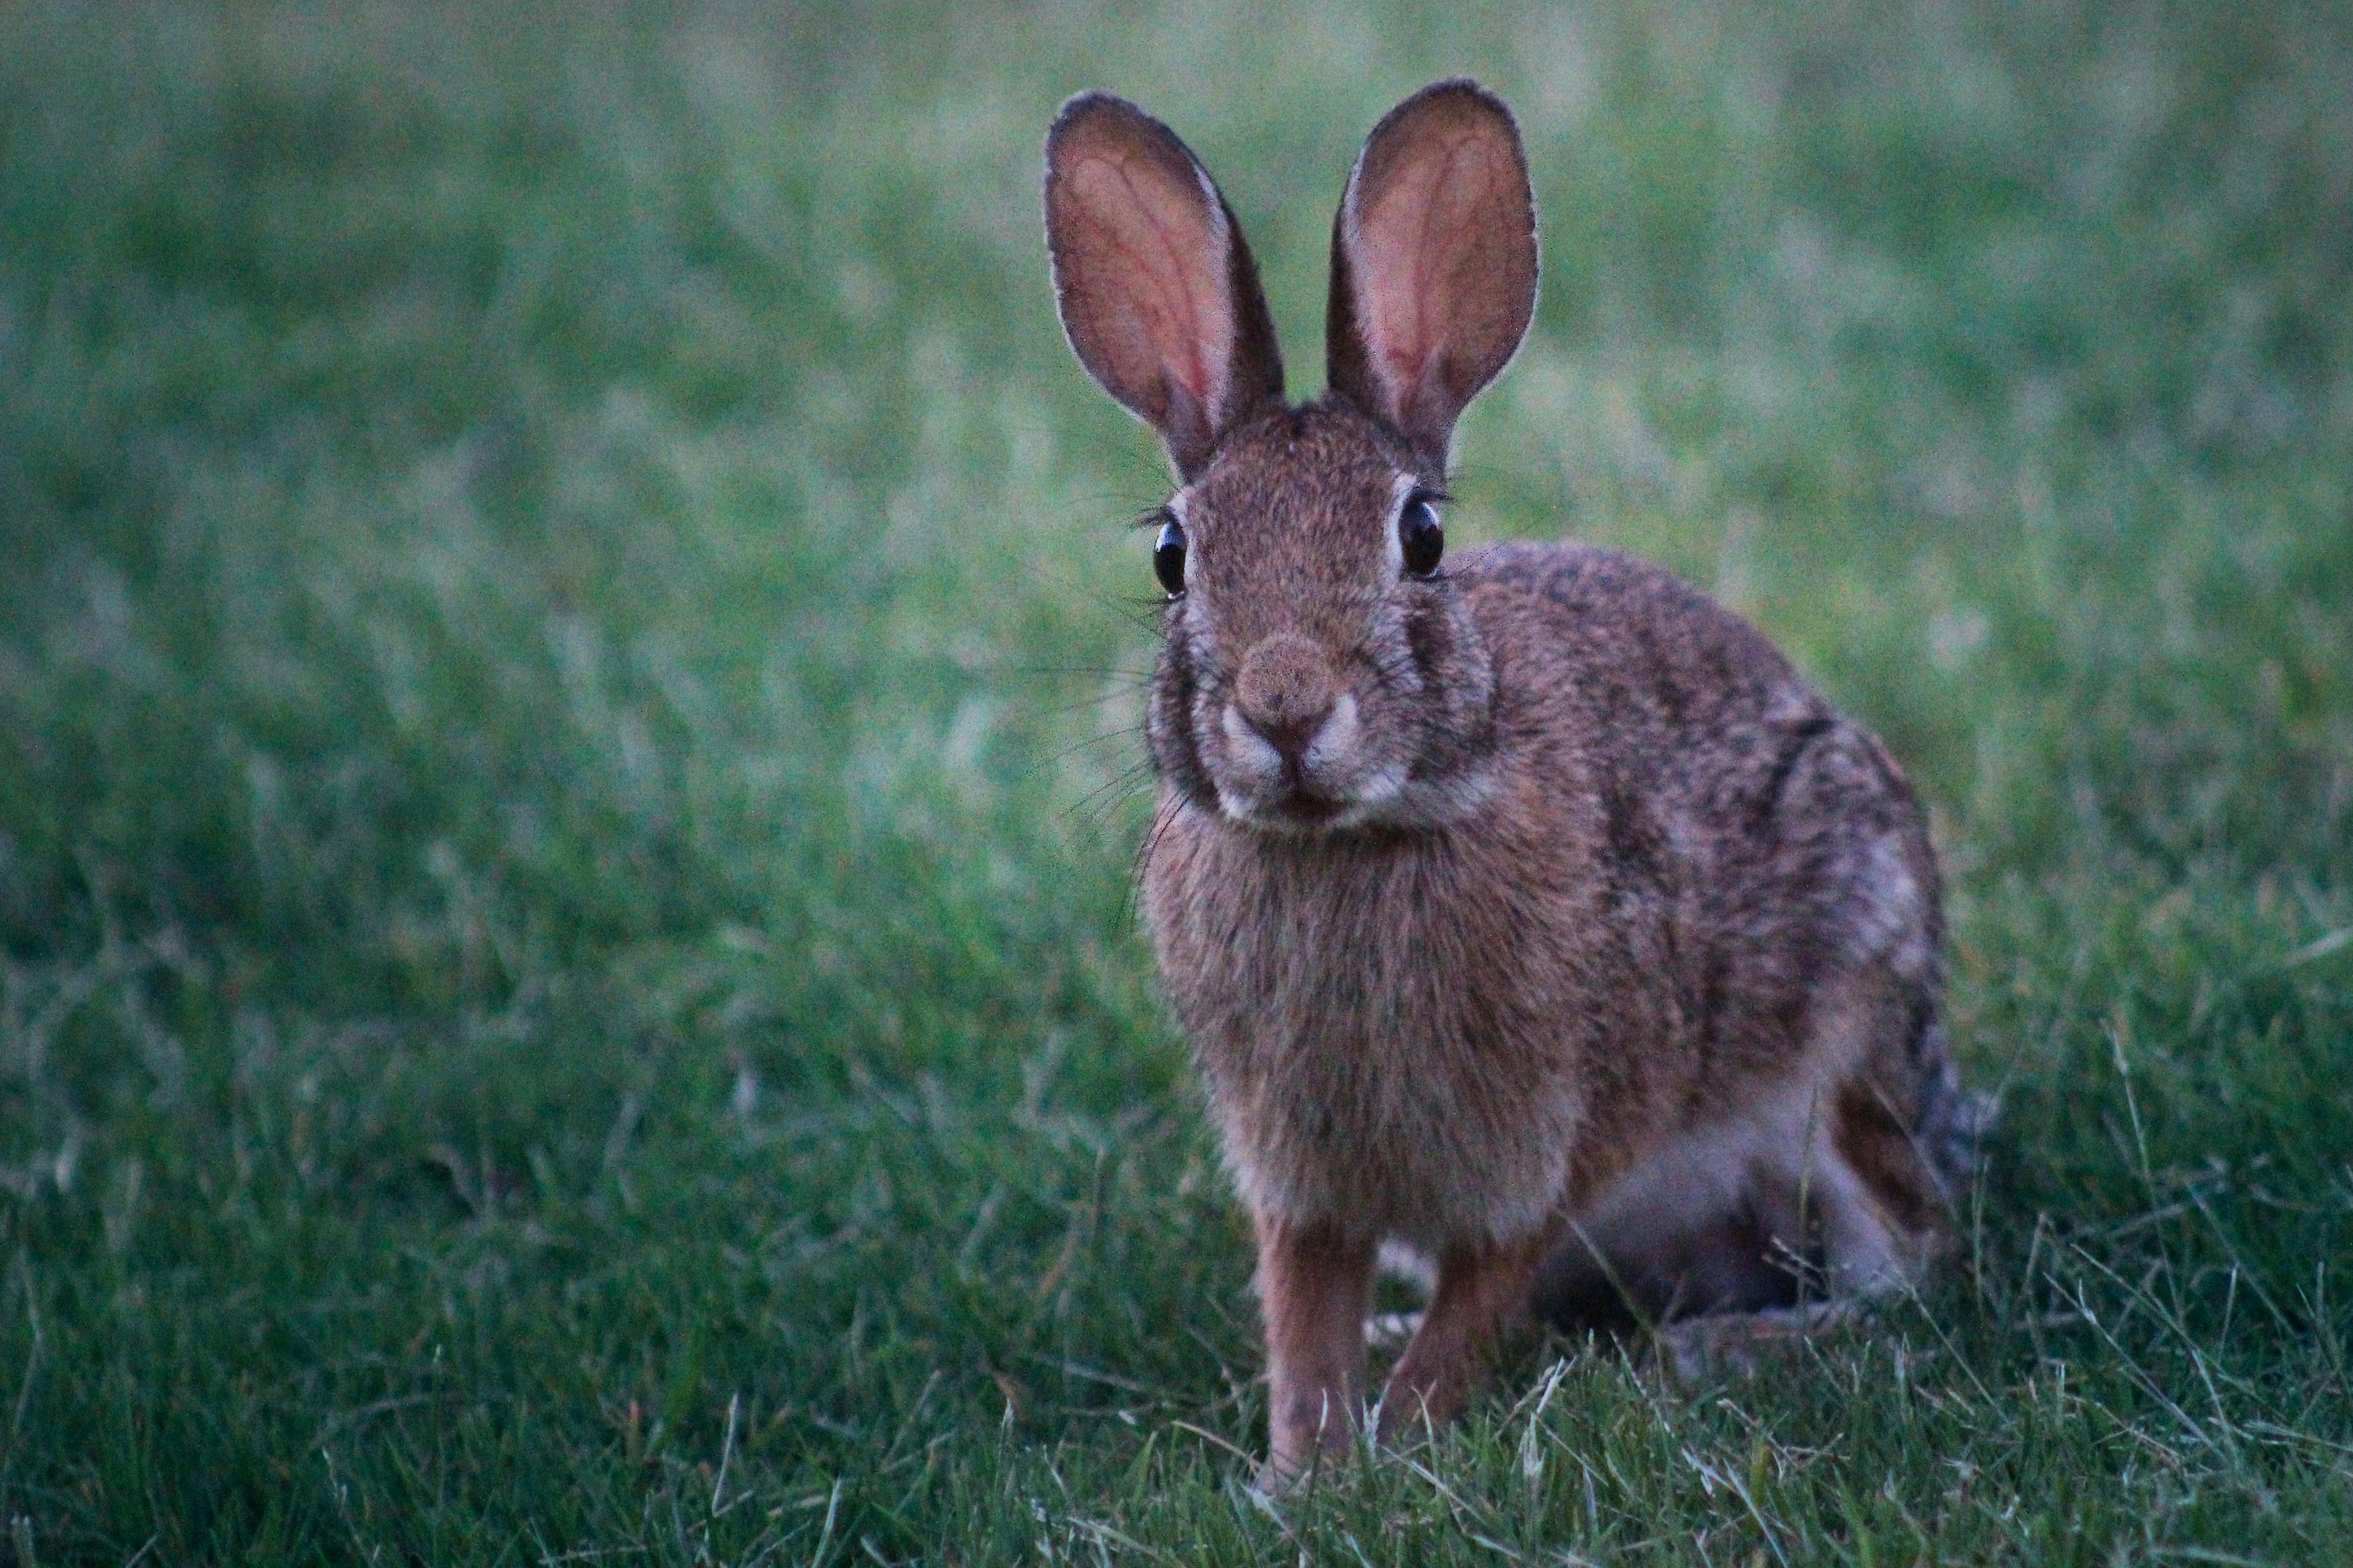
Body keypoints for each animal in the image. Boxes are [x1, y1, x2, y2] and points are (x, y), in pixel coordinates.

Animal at [1040, 82, 1976, 1486]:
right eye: (1170, 554)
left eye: (1422, 537)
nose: (1284, 708)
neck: (1351, 842)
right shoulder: (1296, 1173)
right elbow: (1301, 1309)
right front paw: (1302, 1473)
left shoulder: (1558, 1137)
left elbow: (1484, 1288)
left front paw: (1401, 1442)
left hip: (1843, 1040)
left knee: (1907, 1268)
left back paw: (1711, 1352)